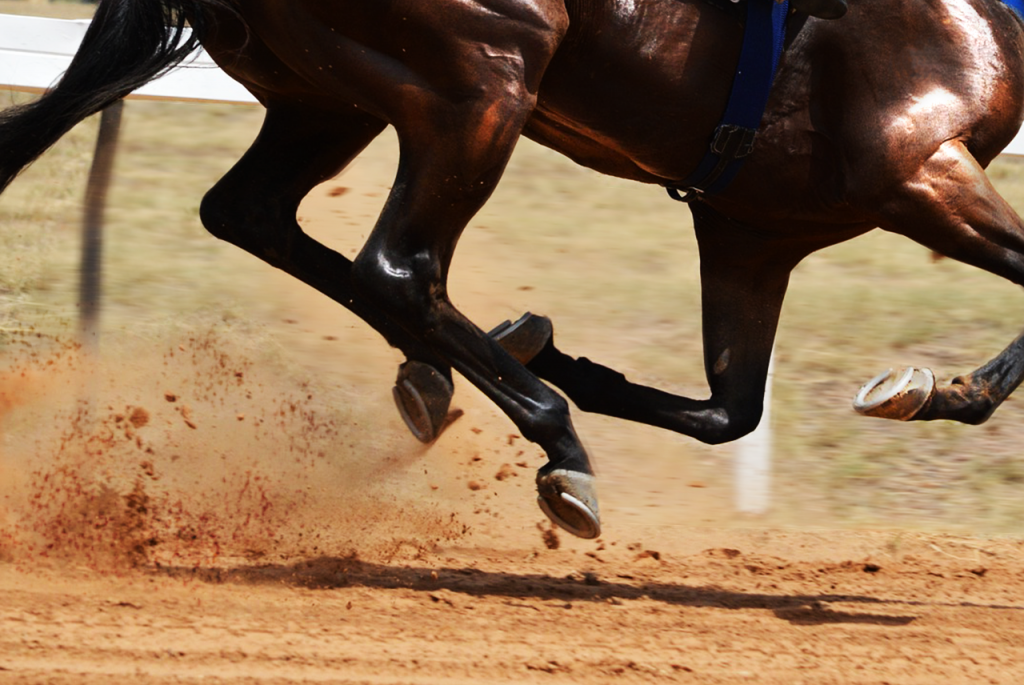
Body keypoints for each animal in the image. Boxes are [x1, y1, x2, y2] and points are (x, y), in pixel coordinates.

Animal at [2, 0, 1024, 536]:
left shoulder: (753, 229)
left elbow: (728, 410)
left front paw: (539, 343)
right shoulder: (915, 165)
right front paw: (938, 388)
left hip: (330, 93)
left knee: (250, 213)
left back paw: (446, 375)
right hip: (484, 76)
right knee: (397, 266)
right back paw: (556, 443)